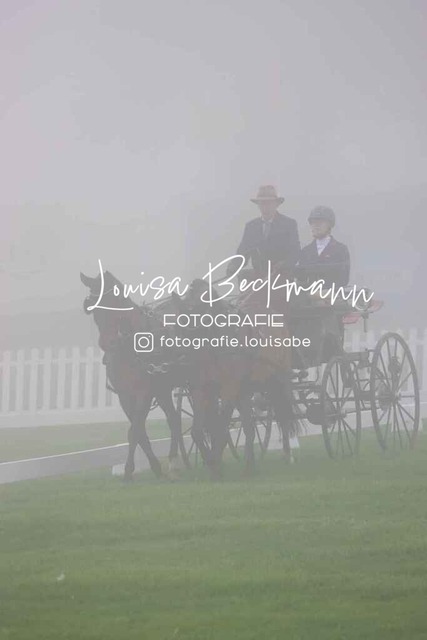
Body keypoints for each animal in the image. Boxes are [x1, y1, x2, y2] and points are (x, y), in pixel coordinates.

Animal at [80, 269, 190, 481]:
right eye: (93, 307)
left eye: (115, 301)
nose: (109, 342)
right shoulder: (125, 395)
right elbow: (139, 432)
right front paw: (154, 466)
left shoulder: (144, 393)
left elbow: (135, 430)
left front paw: (128, 470)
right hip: (163, 389)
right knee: (173, 419)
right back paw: (174, 461)